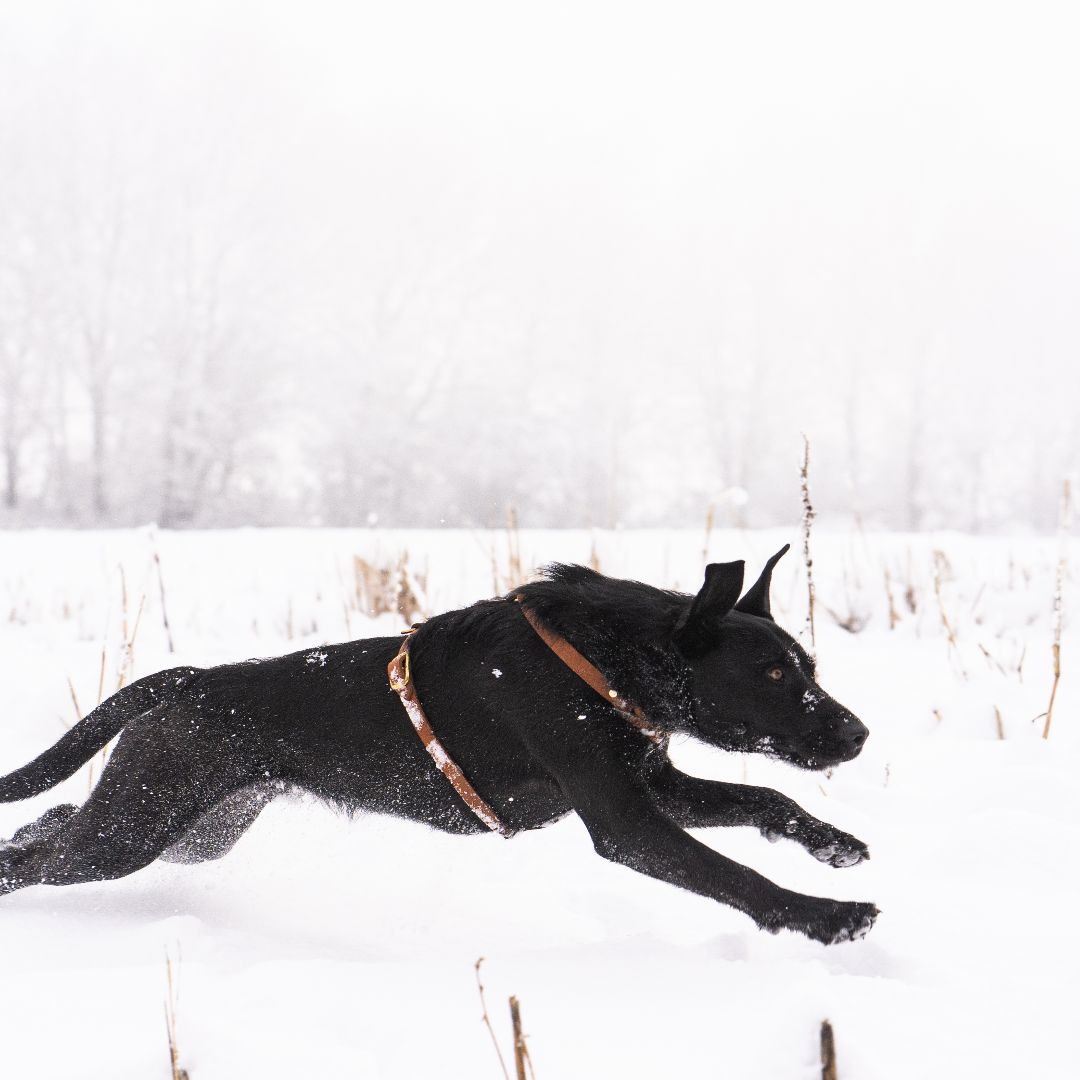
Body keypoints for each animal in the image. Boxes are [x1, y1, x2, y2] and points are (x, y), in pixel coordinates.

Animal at [0, 548, 876, 946]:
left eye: (809, 666)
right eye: (772, 672)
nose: (859, 734)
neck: (612, 661)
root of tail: (186, 680)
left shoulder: (658, 787)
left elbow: (768, 799)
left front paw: (833, 844)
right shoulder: (627, 822)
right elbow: (735, 874)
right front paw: (824, 917)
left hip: (192, 828)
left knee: (53, 821)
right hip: (135, 830)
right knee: (40, 855)